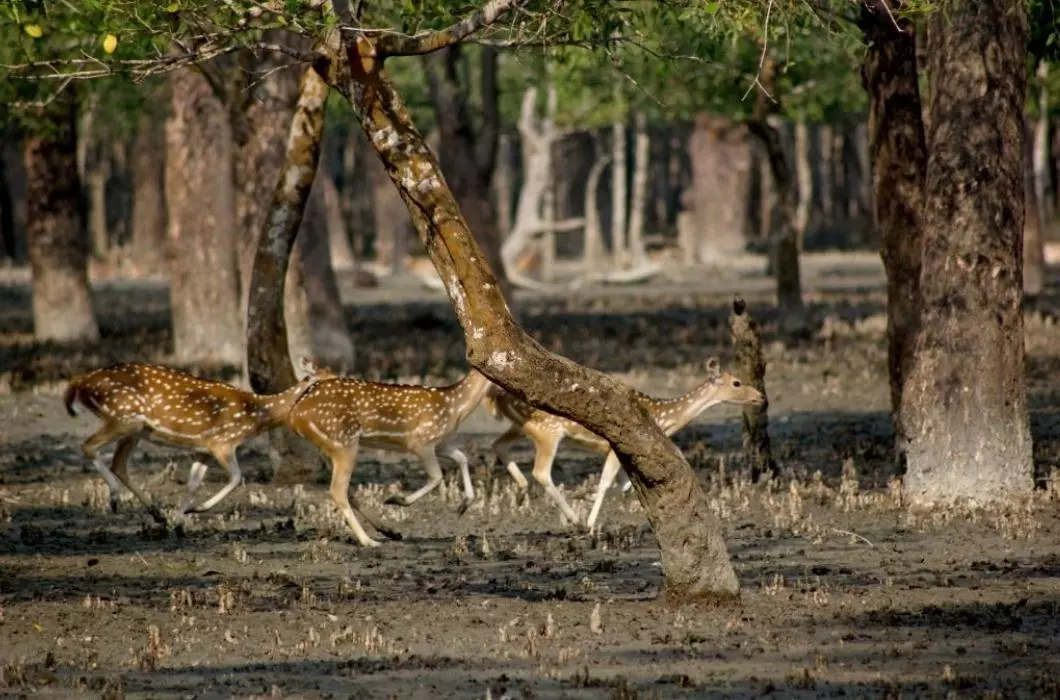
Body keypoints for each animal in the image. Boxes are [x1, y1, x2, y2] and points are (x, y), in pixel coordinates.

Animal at [64, 358, 334, 521]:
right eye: (331, 380)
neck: (254, 417)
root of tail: (80, 382)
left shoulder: (203, 449)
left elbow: (193, 484)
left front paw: (179, 519)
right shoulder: (222, 441)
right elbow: (236, 477)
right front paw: (197, 510)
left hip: (134, 429)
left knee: (118, 463)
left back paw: (157, 513)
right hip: (124, 416)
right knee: (89, 446)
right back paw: (114, 498)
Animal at [286, 371, 491, 547]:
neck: (455, 406)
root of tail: (295, 414)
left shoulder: (439, 442)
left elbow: (462, 458)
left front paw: (465, 504)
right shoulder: (421, 441)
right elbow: (437, 477)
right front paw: (396, 499)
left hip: (330, 447)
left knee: (346, 490)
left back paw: (389, 531)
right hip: (344, 441)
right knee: (337, 490)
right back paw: (368, 541)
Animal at [487, 358, 763, 528]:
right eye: (737, 382)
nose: (760, 396)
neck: (664, 419)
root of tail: (498, 397)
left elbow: (623, 486)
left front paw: (584, 495)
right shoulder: (615, 445)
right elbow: (606, 482)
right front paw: (590, 522)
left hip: (523, 427)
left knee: (497, 444)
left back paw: (525, 490)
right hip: (548, 431)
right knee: (541, 471)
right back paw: (574, 519)